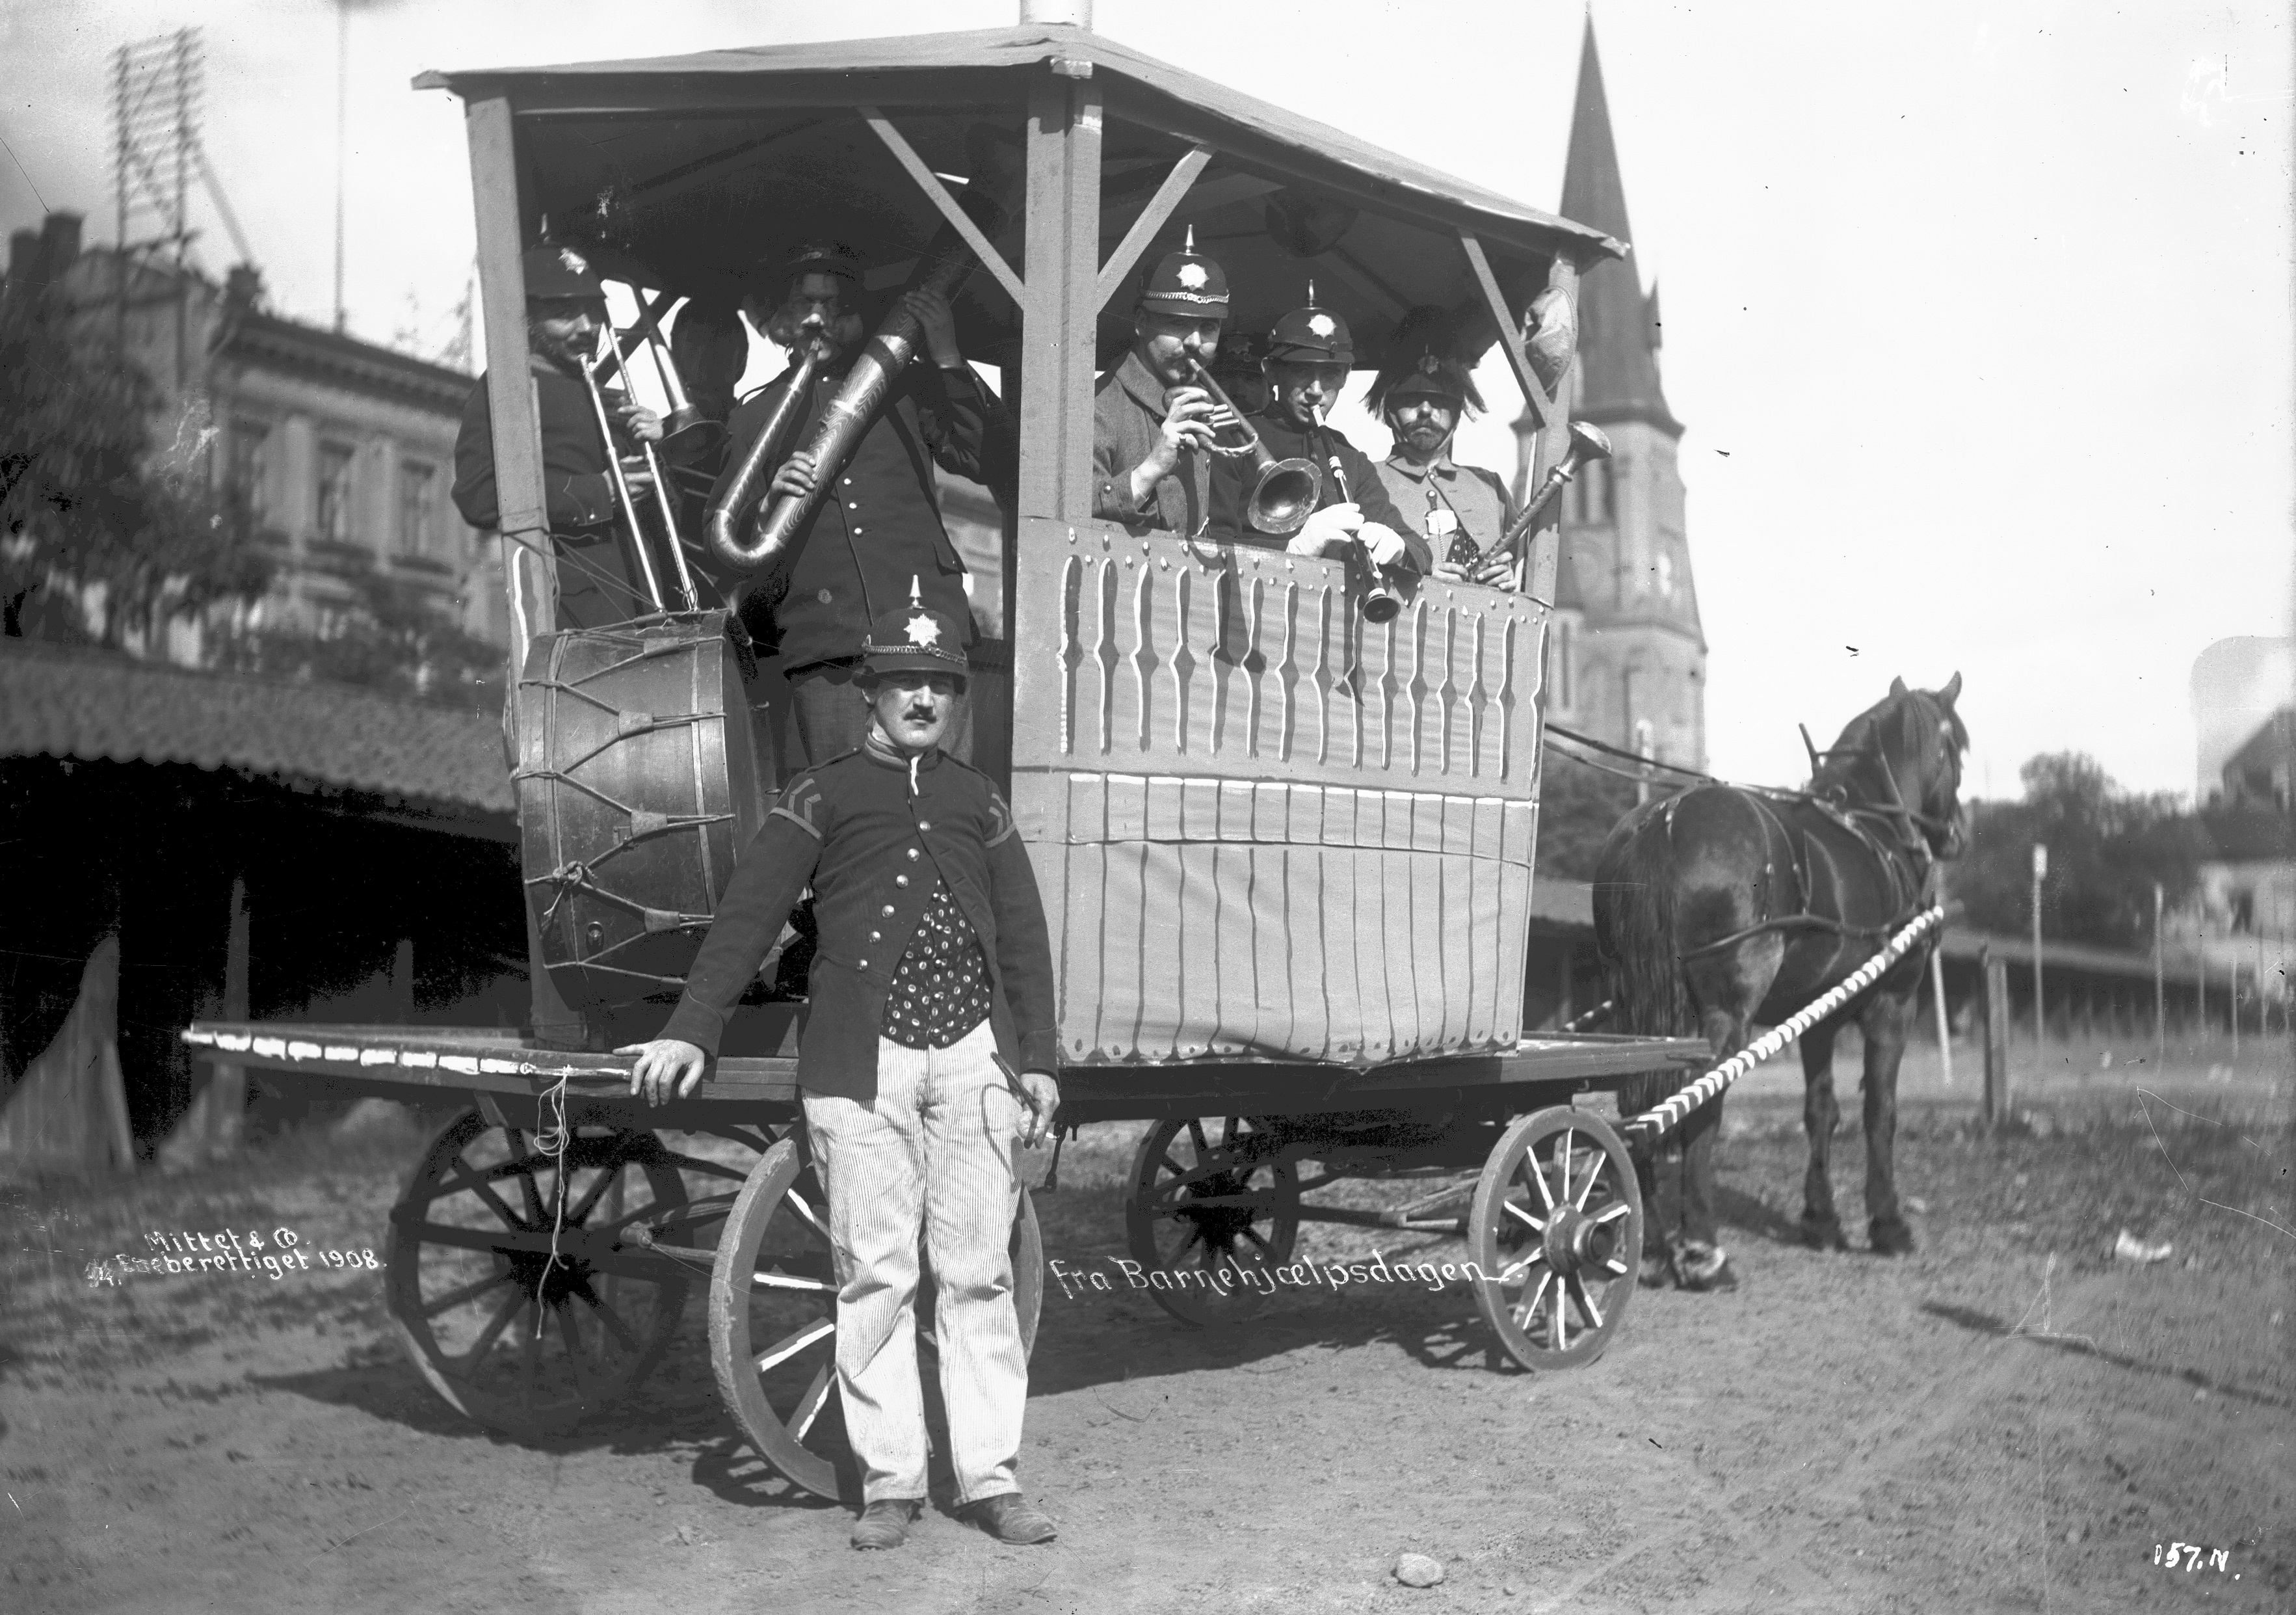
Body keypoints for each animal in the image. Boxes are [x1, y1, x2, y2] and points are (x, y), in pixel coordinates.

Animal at [1589, 675, 1965, 1296]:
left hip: (1637, 1003)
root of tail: (1663, 817)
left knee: (1642, 1099)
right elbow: (1879, 1111)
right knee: (1699, 1098)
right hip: (1726, 1011)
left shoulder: (1818, 1015)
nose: (1956, 832)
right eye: (1956, 746)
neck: (1876, 824)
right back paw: (1703, 1249)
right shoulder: (1893, 1003)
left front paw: (1821, 1218)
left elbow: (1820, 1110)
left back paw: (1657, 1244)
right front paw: (1886, 1223)